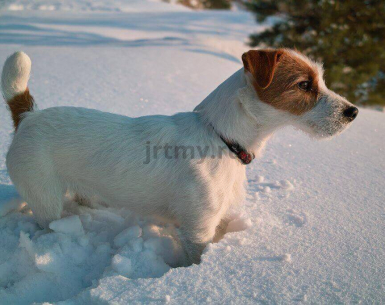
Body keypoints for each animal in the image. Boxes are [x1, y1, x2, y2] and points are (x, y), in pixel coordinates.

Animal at [0, 49, 356, 264]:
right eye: (304, 85)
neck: (220, 135)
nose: (352, 112)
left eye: (321, 80)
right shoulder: (197, 229)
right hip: (45, 199)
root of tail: (29, 116)